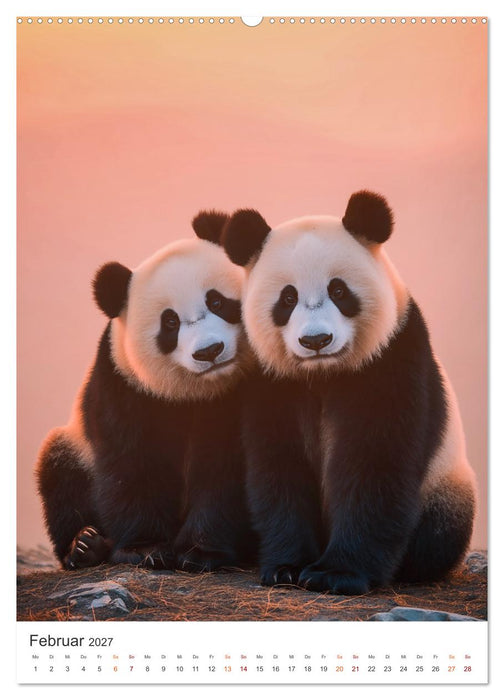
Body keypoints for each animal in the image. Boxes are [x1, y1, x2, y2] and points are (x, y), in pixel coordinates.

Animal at [36, 211, 253, 572]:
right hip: (75, 445)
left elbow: (225, 469)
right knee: (59, 474)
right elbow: (131, 463)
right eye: (170, 322)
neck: (194, 392)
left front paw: (200, 552)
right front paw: (145, 549)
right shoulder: (124, 384)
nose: (209, 351)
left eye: (217, 301)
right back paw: (84, 545)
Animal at [221, 190, 477, 594]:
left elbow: (374, 463)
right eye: (288, 299)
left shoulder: (391, 357)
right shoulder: (271, 380)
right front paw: (287, 567)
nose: (316, 340)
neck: (324, 374)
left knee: (438, 536)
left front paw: (335, 574)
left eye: (338, 290)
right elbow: (279, 464)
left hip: (445, 484)